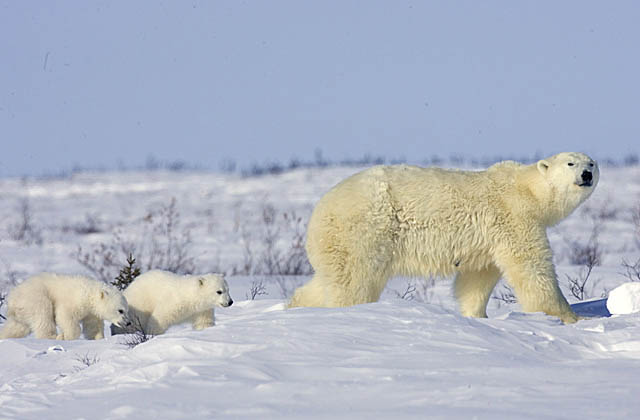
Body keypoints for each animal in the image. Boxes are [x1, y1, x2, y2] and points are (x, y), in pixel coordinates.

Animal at [290, 153, 600, 324]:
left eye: (592, 163)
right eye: (570, 162)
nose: (586, 174)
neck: (527, 189)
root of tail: (319, 211)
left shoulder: (486, 240)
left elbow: (477, 278)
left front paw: (477, 316)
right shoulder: (514, 218)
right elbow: (532, 268)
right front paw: (574, 317)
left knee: (329, 279)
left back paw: (296, 305)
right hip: (364, 231)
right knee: (355, 281)